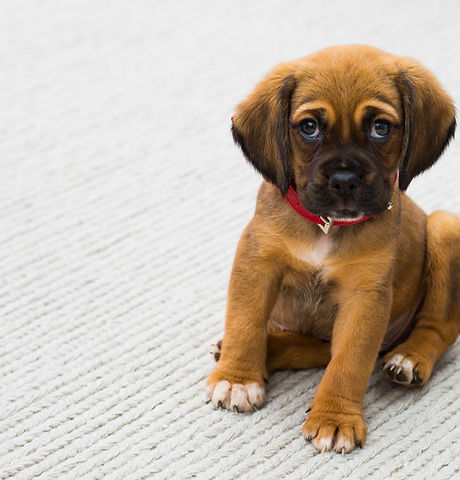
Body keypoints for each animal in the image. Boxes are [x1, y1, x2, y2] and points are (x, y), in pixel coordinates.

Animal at [206, 45, 460, 454]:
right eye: (309, 127)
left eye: (380, 127)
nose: (344, 181)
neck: (327, 226)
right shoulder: (256, 262)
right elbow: (245, 322)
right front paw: (238, 378)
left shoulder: (364, 297)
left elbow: (349, 362)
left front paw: (335, 418)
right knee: (315, 348)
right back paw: (261, 349)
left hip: (444, 227)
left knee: (439, 327)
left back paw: (409, 358)